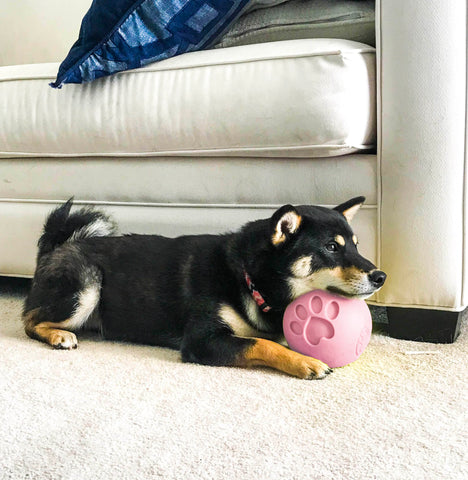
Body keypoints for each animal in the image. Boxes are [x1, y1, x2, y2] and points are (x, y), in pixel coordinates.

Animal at [23, 196, 386, 378]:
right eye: (331, 248)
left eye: (356, 246)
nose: (381, 276)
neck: (248, 277)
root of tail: (58, 246)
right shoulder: (203, 340)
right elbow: (262, 344)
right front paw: (304, 362)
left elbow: (268, 338)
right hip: (86, 290)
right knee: (30, 321)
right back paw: (58, 336)